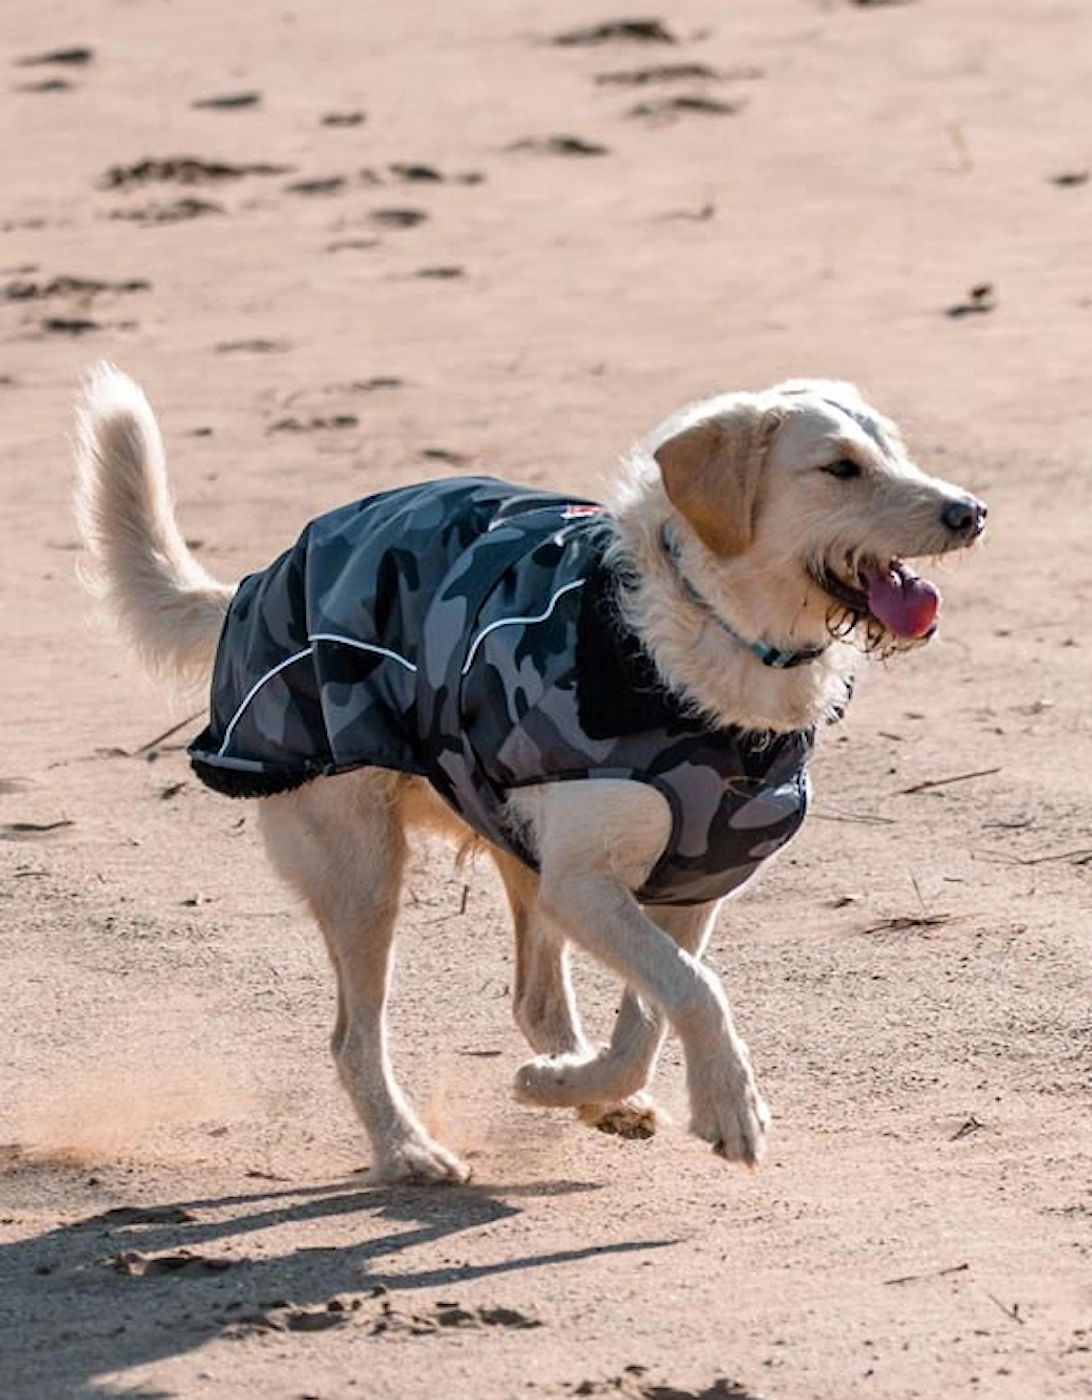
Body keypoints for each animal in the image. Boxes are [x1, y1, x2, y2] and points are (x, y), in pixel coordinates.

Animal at [72, 364, 985, 1181]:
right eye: (840, 468)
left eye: (895, 451)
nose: (970, 512)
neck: (705, 639)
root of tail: (256, 587)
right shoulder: (587, 884)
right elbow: (694, 991)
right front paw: (731, 1105)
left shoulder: (686, 891)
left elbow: (655, 1010)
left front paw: (571, 1088)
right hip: (362, 870)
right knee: (353, 1037)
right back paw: (407, 1152)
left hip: (516, 848)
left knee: (535, 1000)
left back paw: (584, 1093)